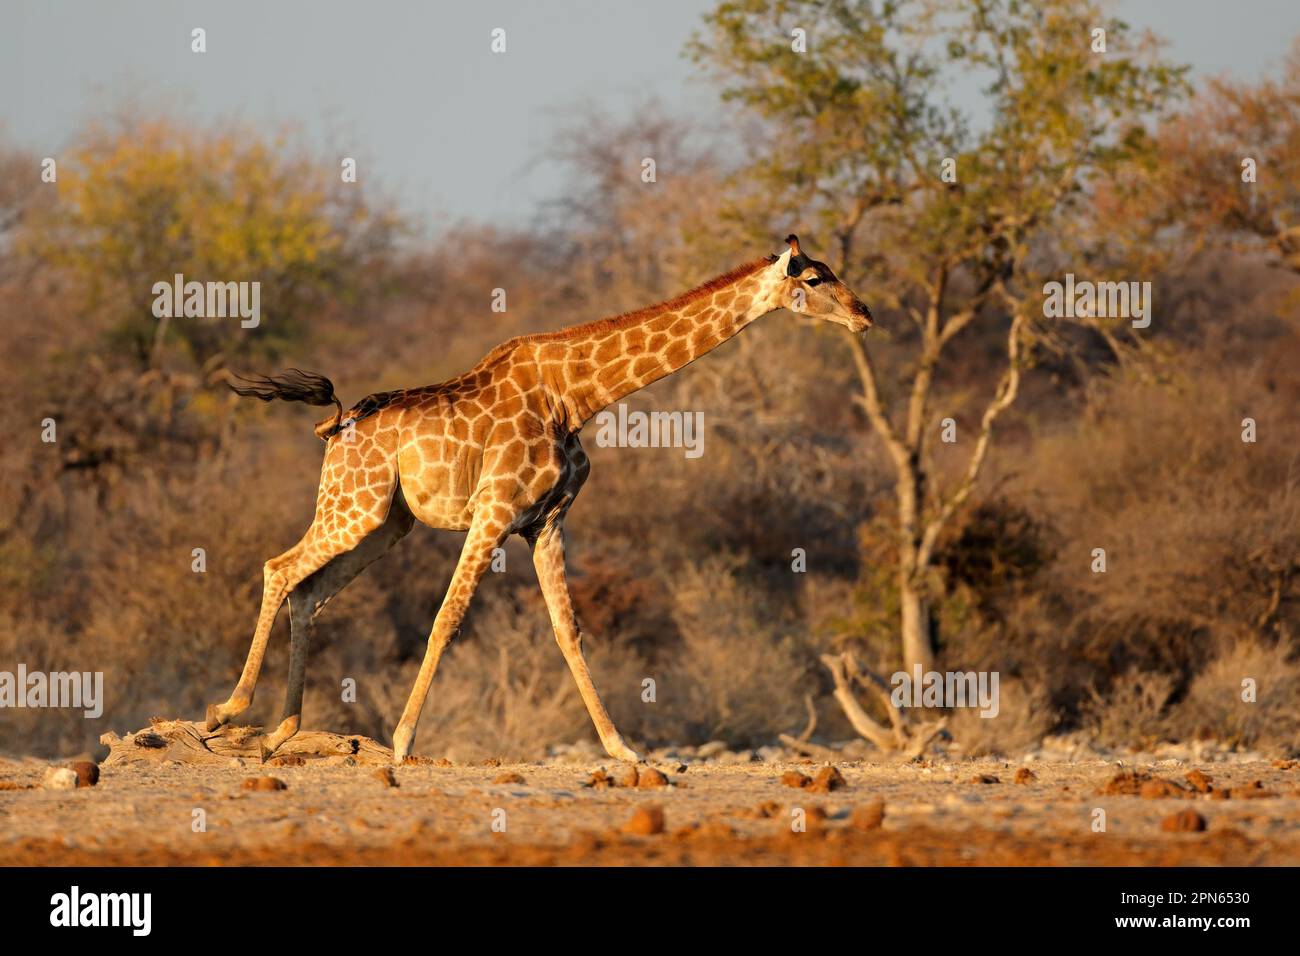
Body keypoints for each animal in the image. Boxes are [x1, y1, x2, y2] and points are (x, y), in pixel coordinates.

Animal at [206, 235, 871, 763]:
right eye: (815, 279)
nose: (865, 313)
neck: (575, 395)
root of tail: (337, 425)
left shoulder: (547, 522)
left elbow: (567, 629)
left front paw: (623, 749)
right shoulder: (495, 511)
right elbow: (448, 618)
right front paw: (401, 742)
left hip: (386, 522)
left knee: (308, 592)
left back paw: (280, 731)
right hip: (356, 503)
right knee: (279, 569)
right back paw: (227, 711)